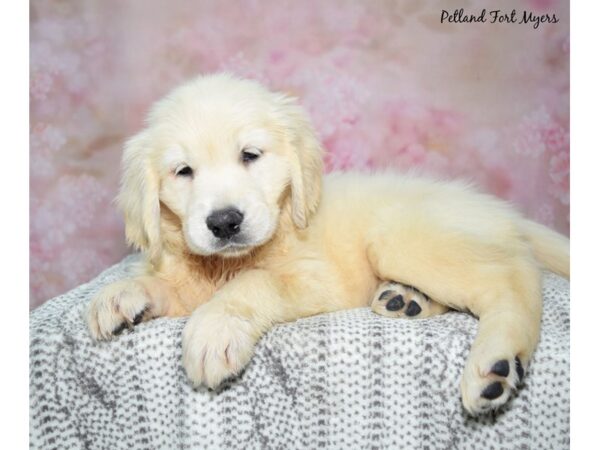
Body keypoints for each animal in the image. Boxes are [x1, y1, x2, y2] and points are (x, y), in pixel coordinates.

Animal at [84, 73, 568, 414]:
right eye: (183, 171)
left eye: (250, 155)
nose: (223, 222)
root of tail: (500, 210)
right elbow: (172, 285)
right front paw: (124, 294)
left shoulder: (316, 277)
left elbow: (252, 284)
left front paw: (214, 328)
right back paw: (405, 300)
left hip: (400, 237)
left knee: (514, 276)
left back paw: (497, 363)